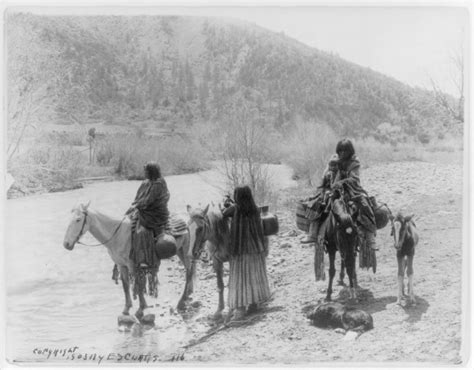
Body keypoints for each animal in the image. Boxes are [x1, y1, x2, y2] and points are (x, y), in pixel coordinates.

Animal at [63, 201, 196, 320]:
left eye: (78, 219)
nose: (66, 244)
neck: (117, 235)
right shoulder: (121, 265)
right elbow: (126, 285)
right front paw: (126, 308)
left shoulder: (132, 265)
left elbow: (137, 284)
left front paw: (141, 309)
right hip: (180, 251)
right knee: (191, 269)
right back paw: (189, 293)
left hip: (185, 251)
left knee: (189, 271)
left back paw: (182, 300)